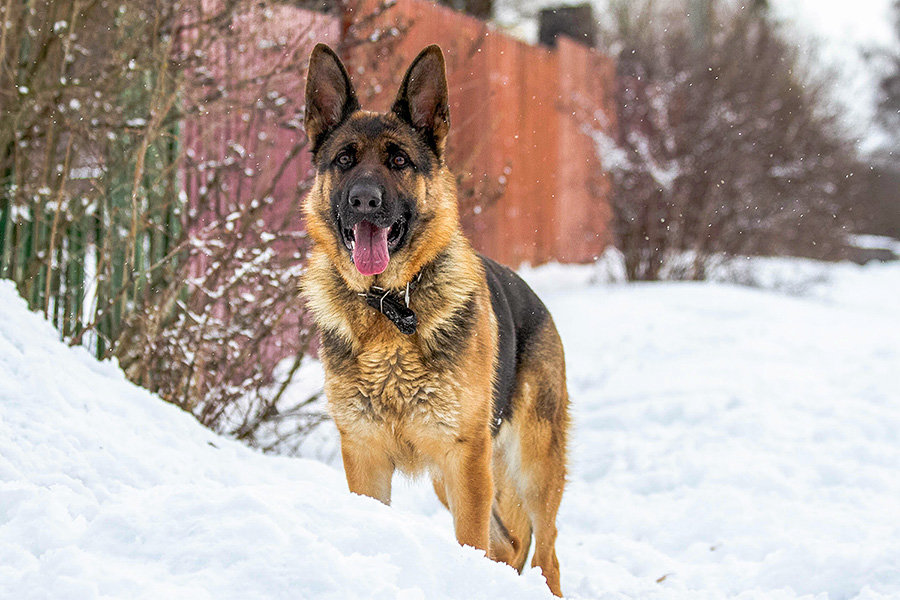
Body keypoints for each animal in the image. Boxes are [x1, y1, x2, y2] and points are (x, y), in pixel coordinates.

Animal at [300, 42, 568, 596]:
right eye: (344, 159)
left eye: (399, 161)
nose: (364, 200)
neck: (389, 305)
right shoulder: (366, 456)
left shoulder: (464, 456)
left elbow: (471, 543)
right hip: (459, 478)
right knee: (509, 544)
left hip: (527, 468)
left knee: (546, 556)